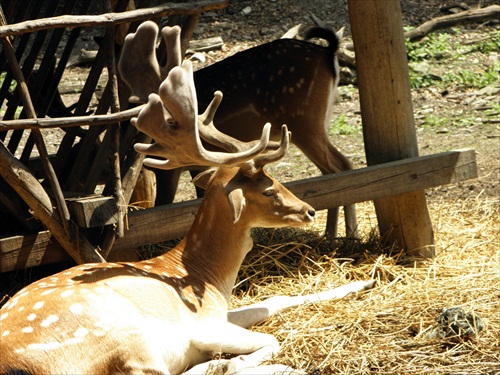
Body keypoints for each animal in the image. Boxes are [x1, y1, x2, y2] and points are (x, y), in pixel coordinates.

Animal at [118, 21, 358, 238]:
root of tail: (329, 52)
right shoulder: (196, 166)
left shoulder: (168, 169)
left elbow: (163, 205)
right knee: (335, 168)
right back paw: (340, 234)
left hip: (305, 121)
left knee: (339, 165)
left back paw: (342, 235)